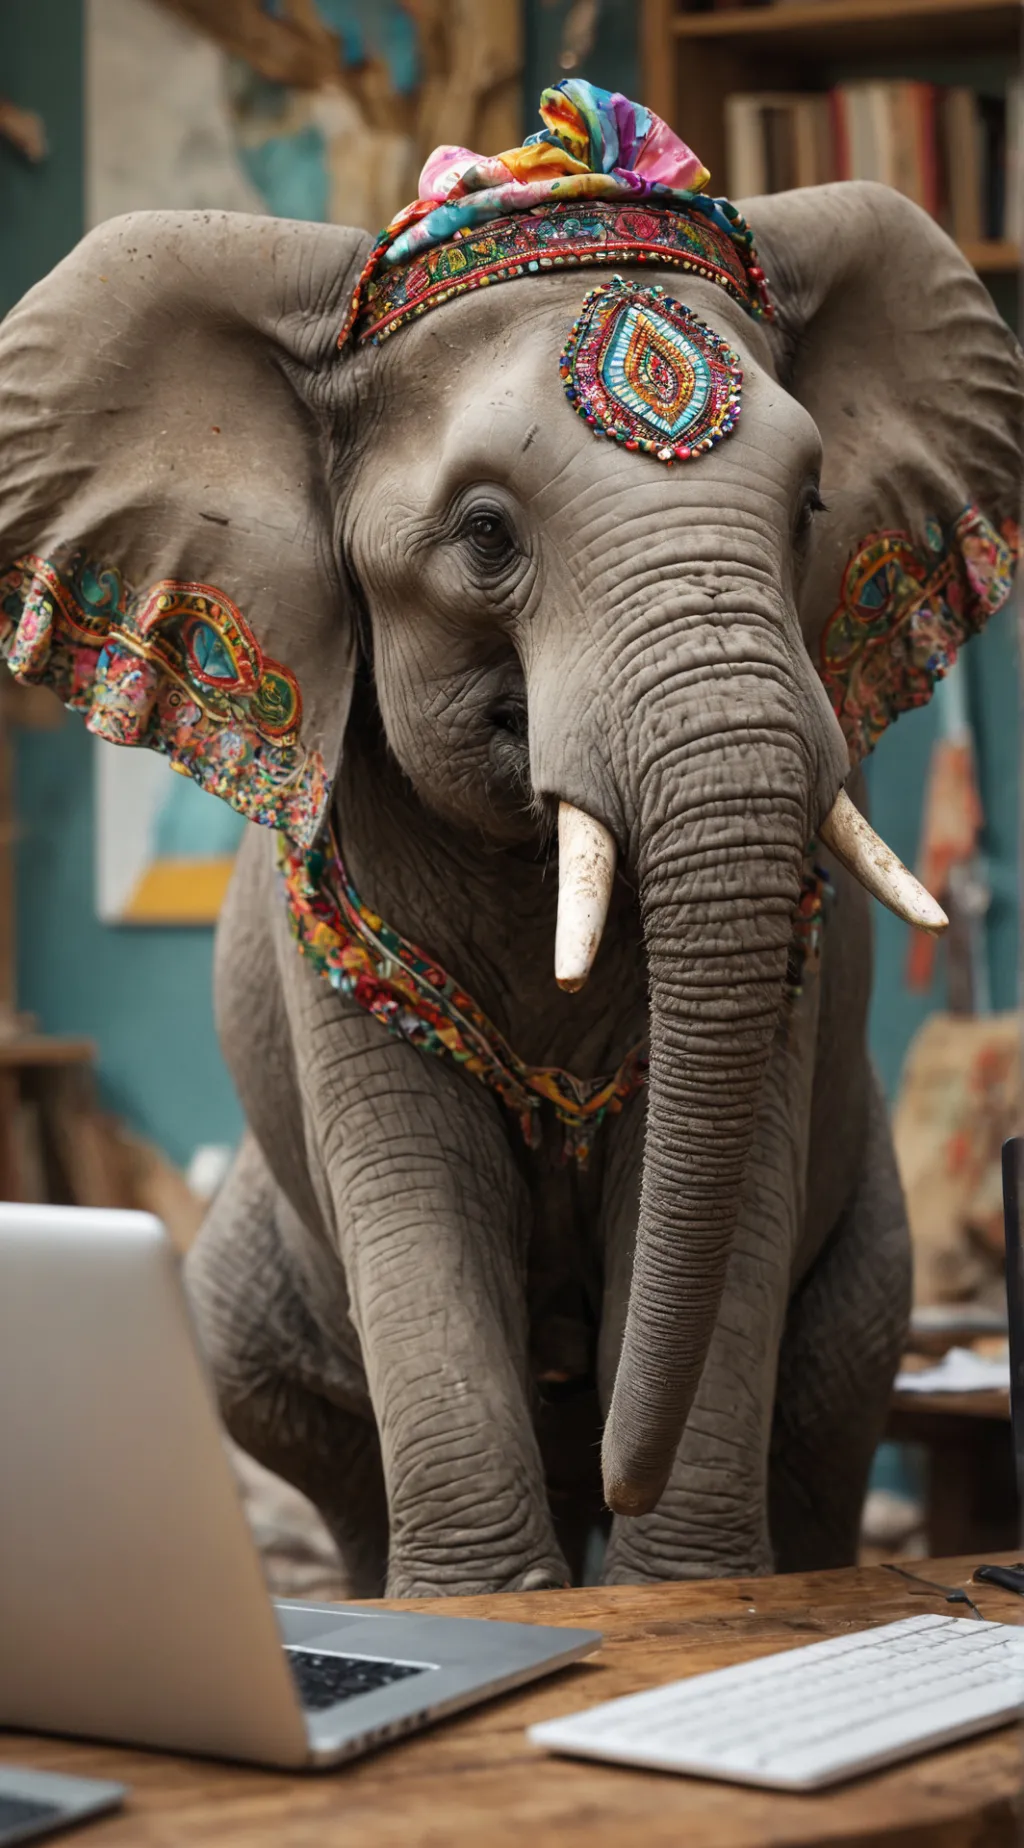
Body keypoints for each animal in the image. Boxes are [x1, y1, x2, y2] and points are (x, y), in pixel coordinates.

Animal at [1, 82, 1020, 1599]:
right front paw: (494, 1612)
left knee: (832, 1416)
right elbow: (414, 1187)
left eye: (809, 510)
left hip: (869, 1293)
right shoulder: (329, 920)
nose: (612, 1462)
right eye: (485, 535)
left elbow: (726, 1174)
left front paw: (683, 1600)